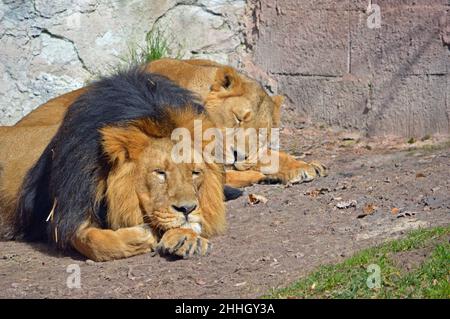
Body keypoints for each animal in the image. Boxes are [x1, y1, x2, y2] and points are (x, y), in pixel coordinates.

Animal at [0, 67, 225, 262]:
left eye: (195, 173)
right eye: (159, 172)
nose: (187, 209)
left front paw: (186, 237)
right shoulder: (68, 211)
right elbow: (91, 240)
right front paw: (140, 236)